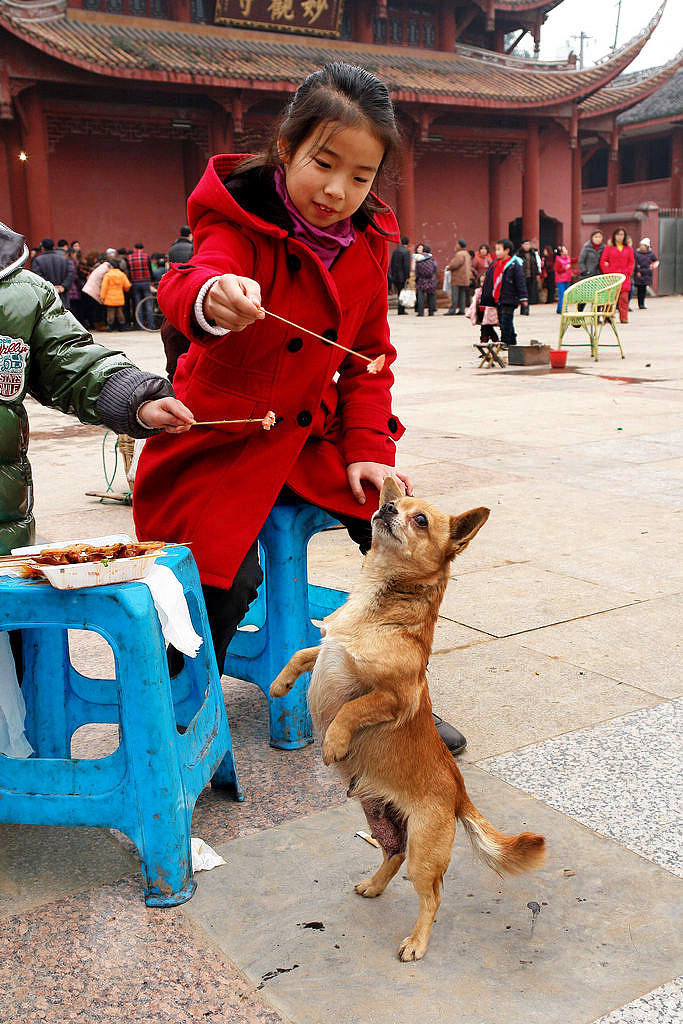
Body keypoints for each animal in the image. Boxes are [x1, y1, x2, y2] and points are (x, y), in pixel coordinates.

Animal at [270, 479, 548, 958]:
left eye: (420, 519)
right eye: (394, 503)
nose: (385, 507)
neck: (376, 604)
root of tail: (458, 792)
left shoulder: (392, 698)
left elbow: (351, 708)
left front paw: (334, 742)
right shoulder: (327, 649)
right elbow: (303, 653)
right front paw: (280, 684)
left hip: (424, 849)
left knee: (431, 893)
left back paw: (417, 942)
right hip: (381, 820)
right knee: (392, 855)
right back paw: (374, 885)